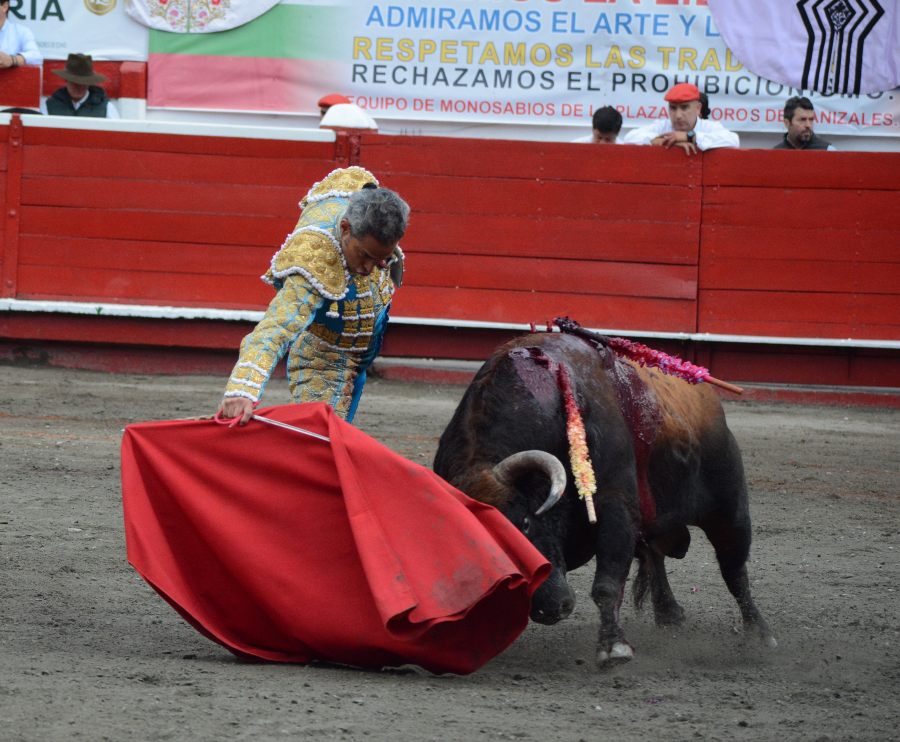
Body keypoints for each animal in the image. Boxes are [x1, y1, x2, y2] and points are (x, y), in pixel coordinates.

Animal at [434, 332, 772, 668]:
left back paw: (759, 634)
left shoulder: (615, 505)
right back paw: (669, 614)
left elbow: (607, 584)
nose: (549, 609)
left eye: (526, 522)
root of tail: (706, 394)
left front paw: (614, 648)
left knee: (733, 568)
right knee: (655, 554)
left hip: (729, 509)